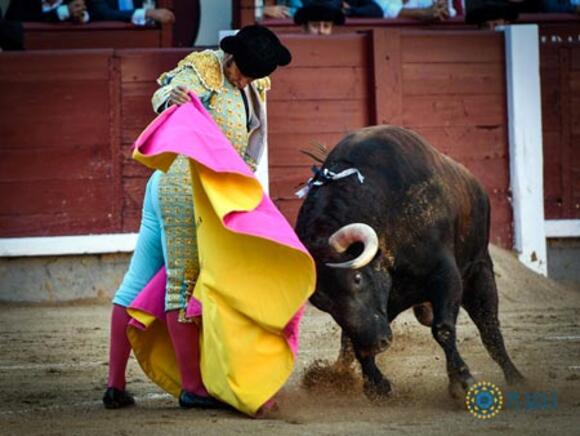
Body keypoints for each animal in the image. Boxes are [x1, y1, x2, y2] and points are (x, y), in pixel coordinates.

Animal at [296, 125, 524, 398]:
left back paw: (517, 378)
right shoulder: (381, 307)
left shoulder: (446, 275)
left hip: (479, 271)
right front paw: (377, 386)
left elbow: (443, 328)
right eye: (322, 302)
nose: (376, 344)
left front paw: (461, 381)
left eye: (357, 278)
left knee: (489, 328)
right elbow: (353, 340)